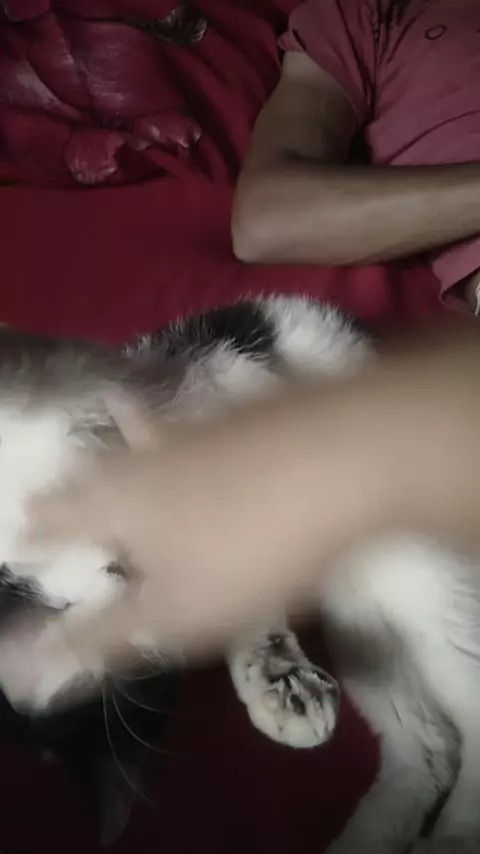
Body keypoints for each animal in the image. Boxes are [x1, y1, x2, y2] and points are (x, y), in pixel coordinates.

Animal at [0, 297, 478, 854]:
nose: (132, 574)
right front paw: (279, 685)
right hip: (361, 622)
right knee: (430, 747)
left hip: (426, 574)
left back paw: (458, 833)